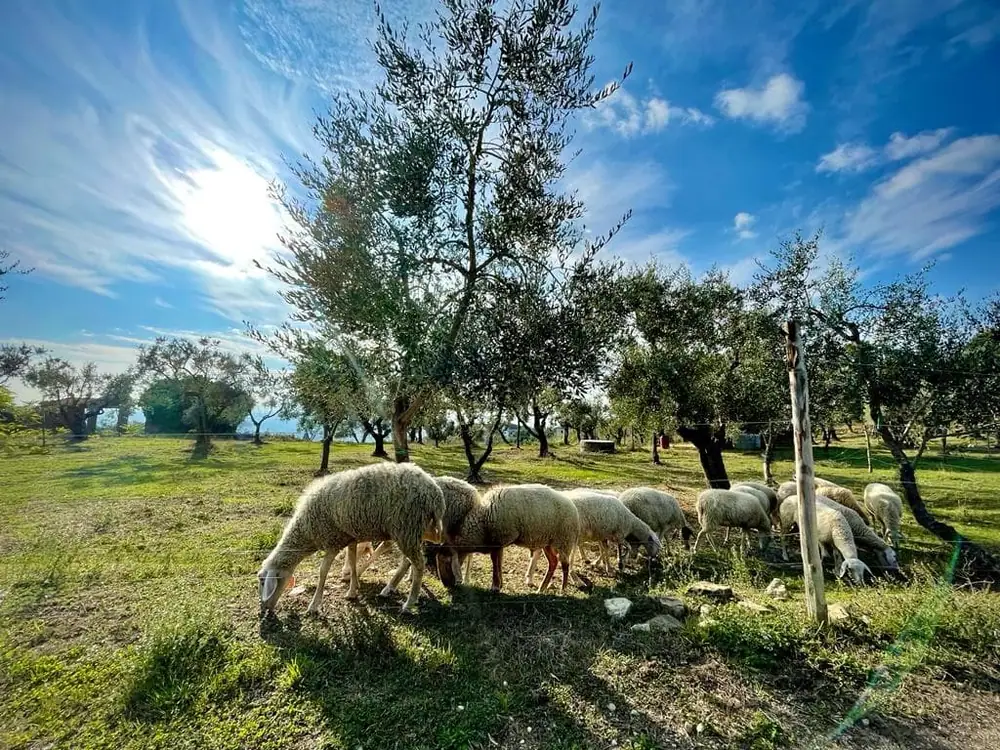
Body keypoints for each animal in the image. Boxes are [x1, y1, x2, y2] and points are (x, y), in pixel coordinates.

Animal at [258, 462, 445, 615]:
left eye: (262, 581)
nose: (263, 610)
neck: (306, 531)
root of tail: (435, 492)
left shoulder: (333, 541)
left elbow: (323, 571)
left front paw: (314, 605)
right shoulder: (350, 537)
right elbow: (353, 561)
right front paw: (352, 590)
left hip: (406, 528)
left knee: (419, 564)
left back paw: (409, 603)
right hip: (414, 530)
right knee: (409, 560)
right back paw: (390, 588)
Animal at [433, 484, 580, 593]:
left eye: (446, 562)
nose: (446, 585)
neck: (482, 525)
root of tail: (574, 508)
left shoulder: (498, 540)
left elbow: (495, 561)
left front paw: (495, 586)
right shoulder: (499, 542)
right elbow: (499, 561)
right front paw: (500, 584)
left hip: (563, 540)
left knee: (565, 564)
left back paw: (562, 589)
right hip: (547, 542)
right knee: (553, 562)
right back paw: (542, 588)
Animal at [524, 489, 659, 584]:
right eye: (656, 546)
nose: (654, 559)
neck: (631, 523)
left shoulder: (604, 535)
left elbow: (605, 550)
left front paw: (607, 567)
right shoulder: (618, 535)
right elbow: (625, 548)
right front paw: (620, 563)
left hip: (548, 533)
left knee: (537, 553)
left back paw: (529, 577)